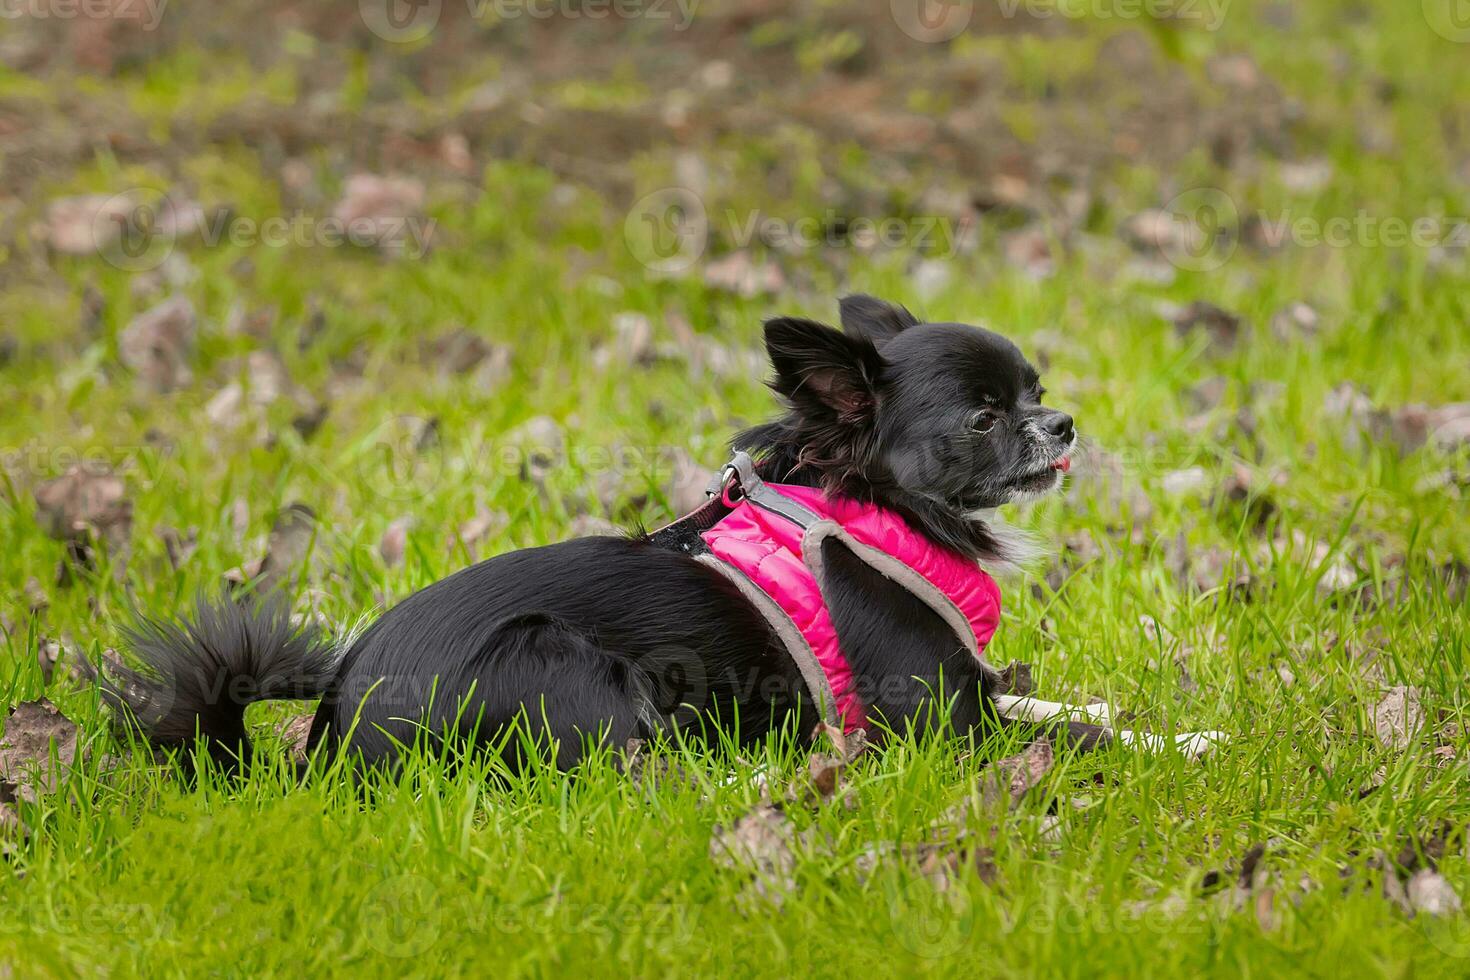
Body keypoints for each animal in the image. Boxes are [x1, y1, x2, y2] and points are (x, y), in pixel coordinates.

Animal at [103, 296, 1081, 775]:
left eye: (1034, 391)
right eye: (984, 417)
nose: (1064, 422)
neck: (878, 504)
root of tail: (331, 749)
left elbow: (1064, 710)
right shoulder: (940, 722)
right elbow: (1061, 737)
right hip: (562, 664)